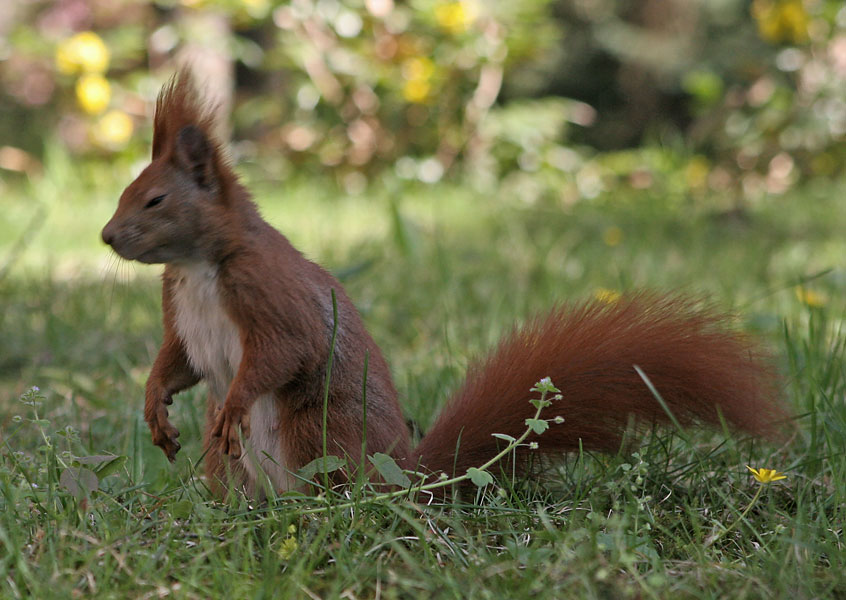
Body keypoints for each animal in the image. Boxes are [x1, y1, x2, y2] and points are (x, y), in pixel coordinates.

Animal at [102, 72, 792, 500]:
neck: (197, 265)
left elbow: (281, 351)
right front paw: (154, 407)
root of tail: (412, 481)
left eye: (155, 199)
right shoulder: (179, 311)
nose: (107, 237)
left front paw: (237, 399)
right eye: (126, 189)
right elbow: (177, 361)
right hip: (235, 463)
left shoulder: (270, 293)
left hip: (318, 431)